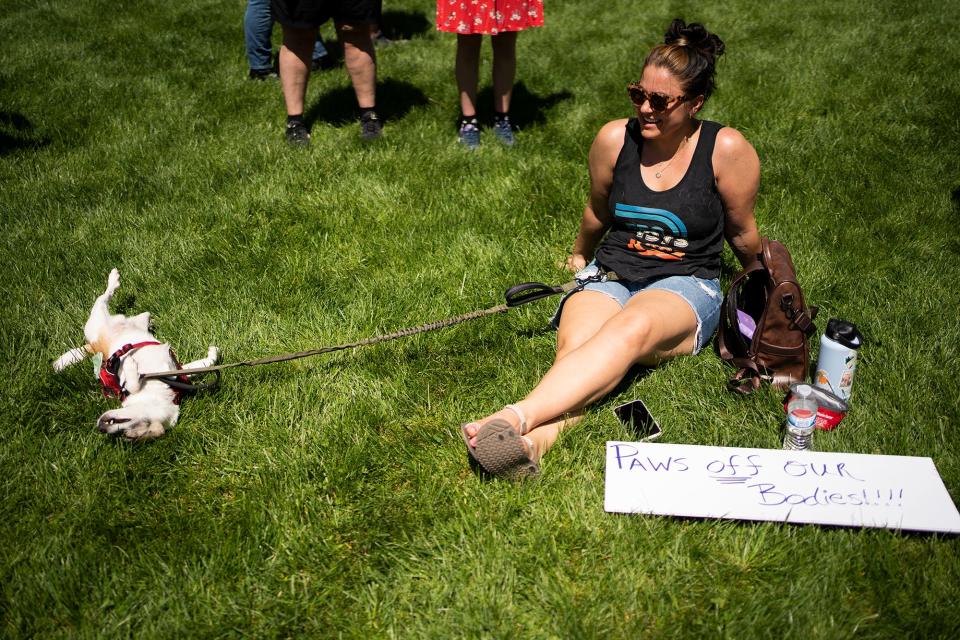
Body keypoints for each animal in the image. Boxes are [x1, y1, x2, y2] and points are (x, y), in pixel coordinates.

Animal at [54, 268, 219, 440]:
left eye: (126, 433)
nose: (101, 428)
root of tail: (93, 346)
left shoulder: (178, 370)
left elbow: (202, 364)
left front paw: (213, 353)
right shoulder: (127, 380)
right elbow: (132, 385)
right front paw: (131, 367)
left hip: (126, 318)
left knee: (137, 313)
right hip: (96, 318)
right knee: (104, 296)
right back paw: (114, 279)